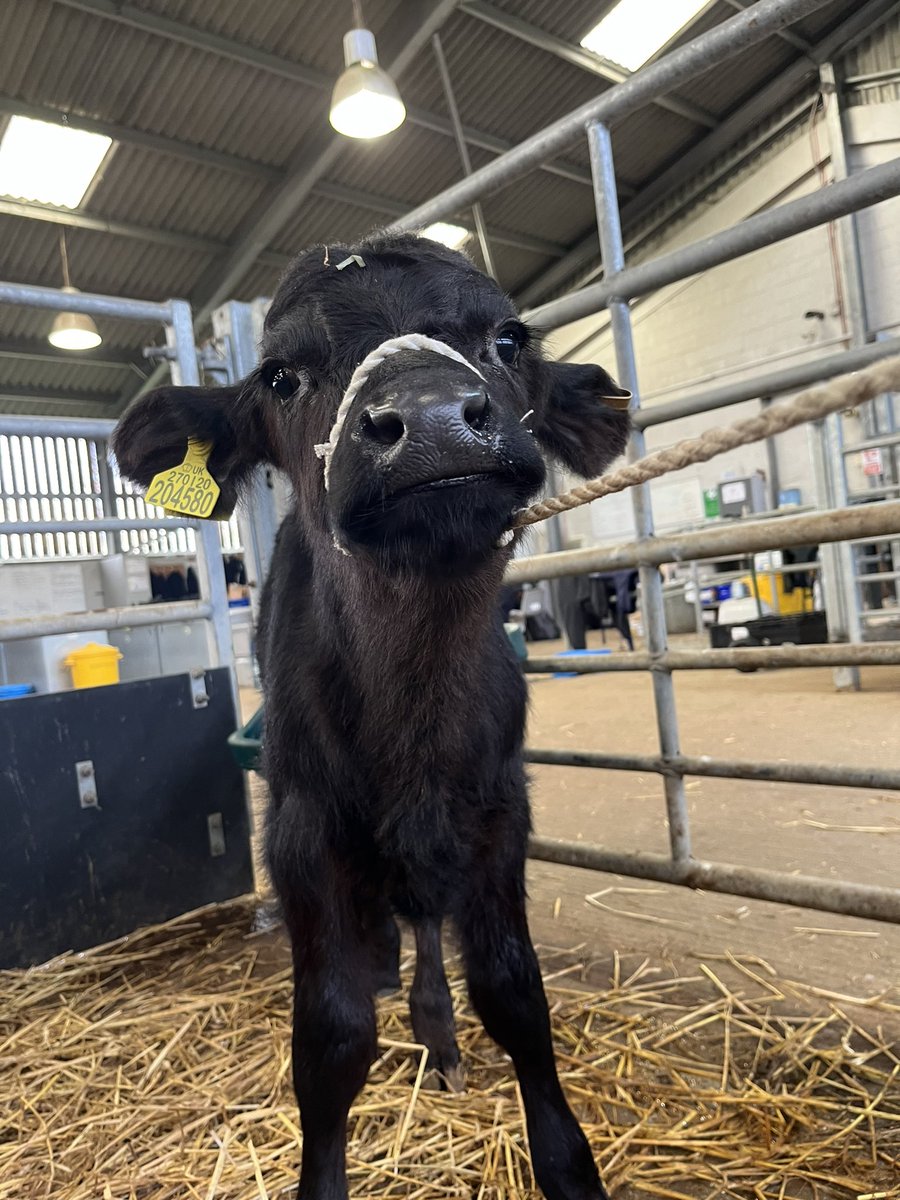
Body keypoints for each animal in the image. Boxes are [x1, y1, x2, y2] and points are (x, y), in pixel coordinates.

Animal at [112, 233, 631, 1200]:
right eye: (280, 375)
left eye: (508, 336)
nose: (429, 421)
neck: (414, 717)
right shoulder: (301, 832)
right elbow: (330, 1036)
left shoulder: (499, 815)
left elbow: (515, 996)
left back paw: (434, 1028)